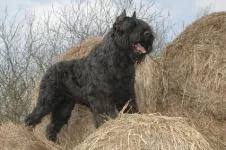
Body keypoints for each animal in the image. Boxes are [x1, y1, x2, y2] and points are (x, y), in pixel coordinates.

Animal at [25, 10, 154, 142]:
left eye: (143, 24)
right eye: (131, 26)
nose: (148, 33)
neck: (119, 60)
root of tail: (48, 70)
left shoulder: (127, 95)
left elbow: (132, 110)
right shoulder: (102, 100)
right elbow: (106, 118)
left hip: (64, 107)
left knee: (53, 125)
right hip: (47, 100)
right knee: (32, 117)